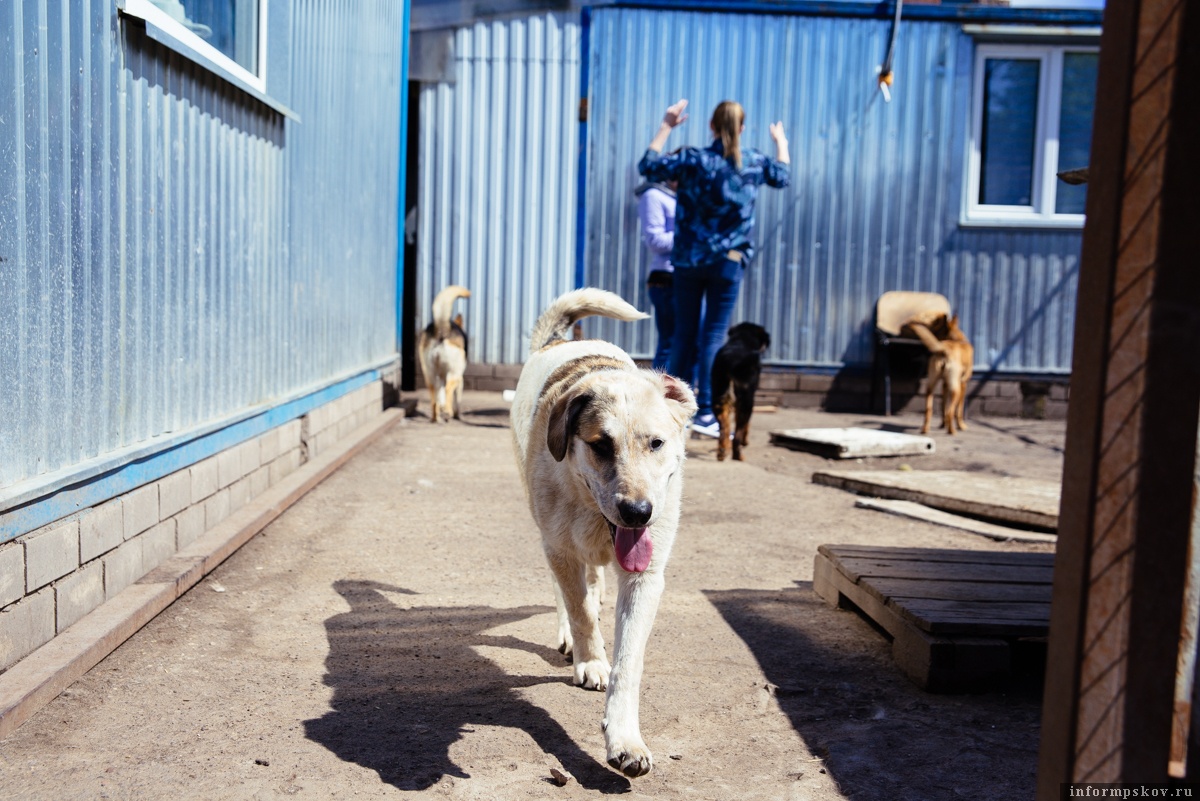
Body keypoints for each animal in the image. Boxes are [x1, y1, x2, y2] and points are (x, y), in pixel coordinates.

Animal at [511, 286, 700, 777]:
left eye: (657, 443)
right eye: (600, 444)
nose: (637, 513)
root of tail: (561, 341)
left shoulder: (645, 577)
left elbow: (629, 661)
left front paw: (625, 738)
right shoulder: (560, 547)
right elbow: (578, 611)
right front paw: (592, 662)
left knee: (593, 580)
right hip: (547, 531)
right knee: (568, 590)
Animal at [710, 323, 768, 462]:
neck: (741, 340)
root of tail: (731, 359)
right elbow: (746, 425)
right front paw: (745, 441)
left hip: (719, 394)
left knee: (724, 429)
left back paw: (722, 451)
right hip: (746, 400)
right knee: (737, 434)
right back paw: (738, 455)